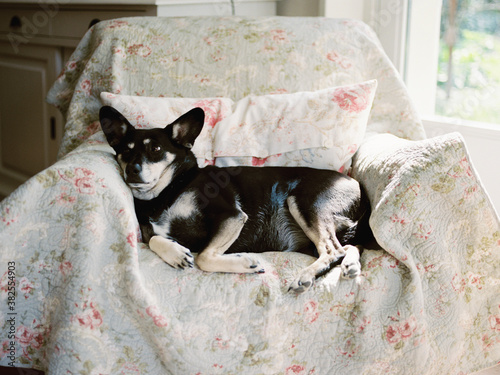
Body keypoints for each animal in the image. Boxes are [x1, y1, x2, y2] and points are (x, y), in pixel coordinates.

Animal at [98, 106, 372, 294]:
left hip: (305, 203)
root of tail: (356, 184)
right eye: (125, 151)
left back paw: (304, 276)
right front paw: (175, 254)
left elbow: (203, 256)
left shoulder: (231, 215)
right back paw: (351, 265)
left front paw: (246, 263)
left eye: (155, 149)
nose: (132, 170)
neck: (169, 190)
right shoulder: (150, 231)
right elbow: (155, 238)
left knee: (332, 250)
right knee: (347, 247)